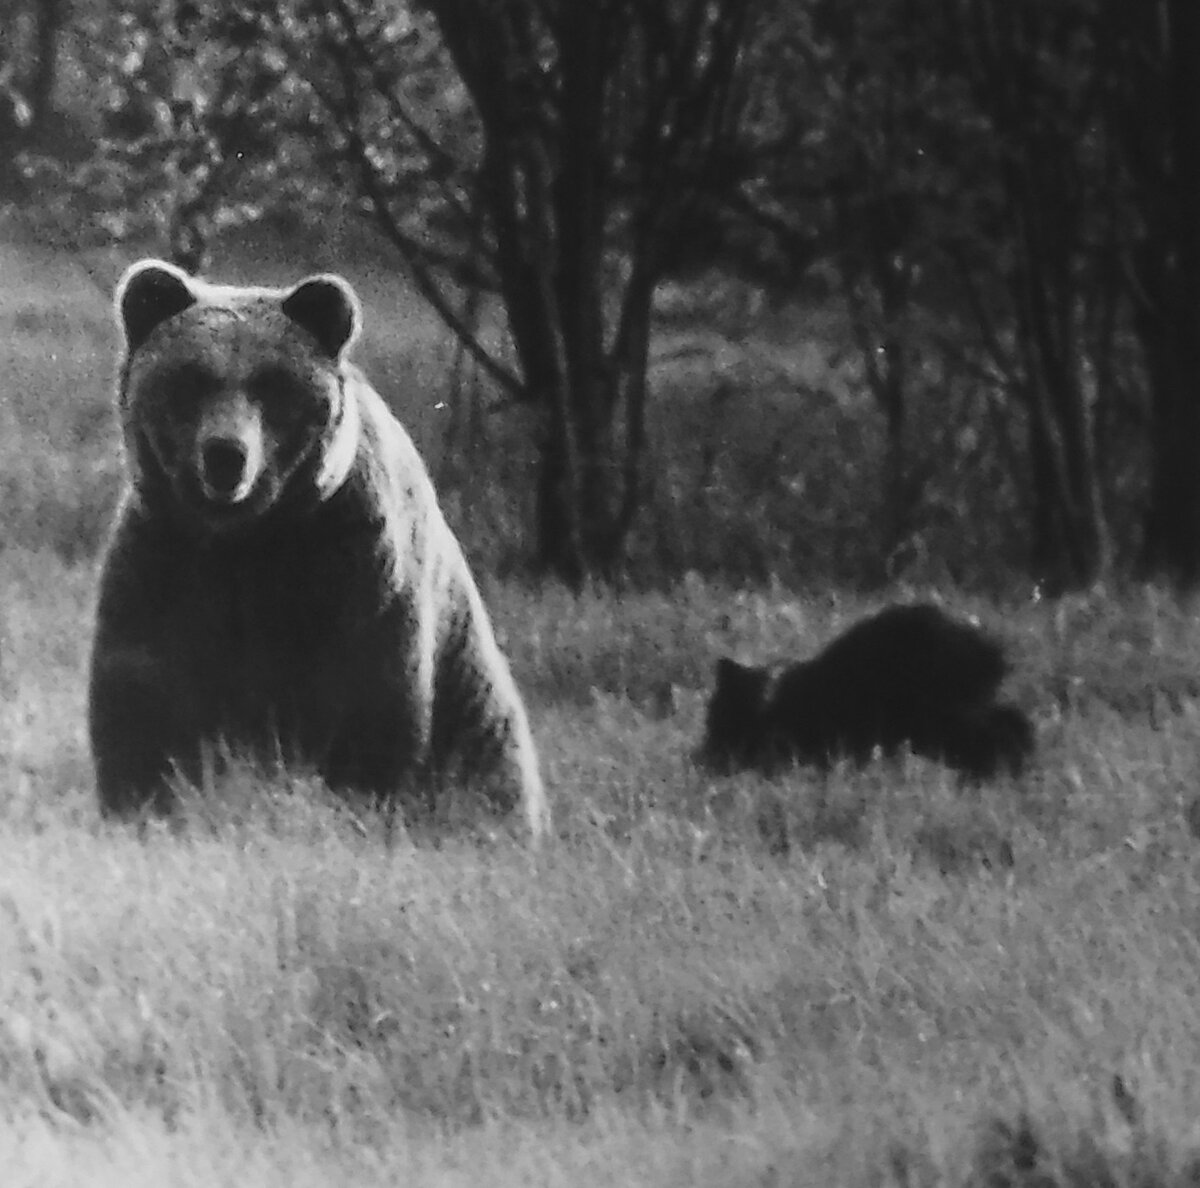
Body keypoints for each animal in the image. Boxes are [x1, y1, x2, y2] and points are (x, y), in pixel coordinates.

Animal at [87, 258, 549, 844]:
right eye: (191, 377)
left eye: (271, 383)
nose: (225, 454)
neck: (249, 537)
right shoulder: (165, 563)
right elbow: (142, 706)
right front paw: (142, 809)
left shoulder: (351, 565)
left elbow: (368, 709)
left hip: (480, 733)